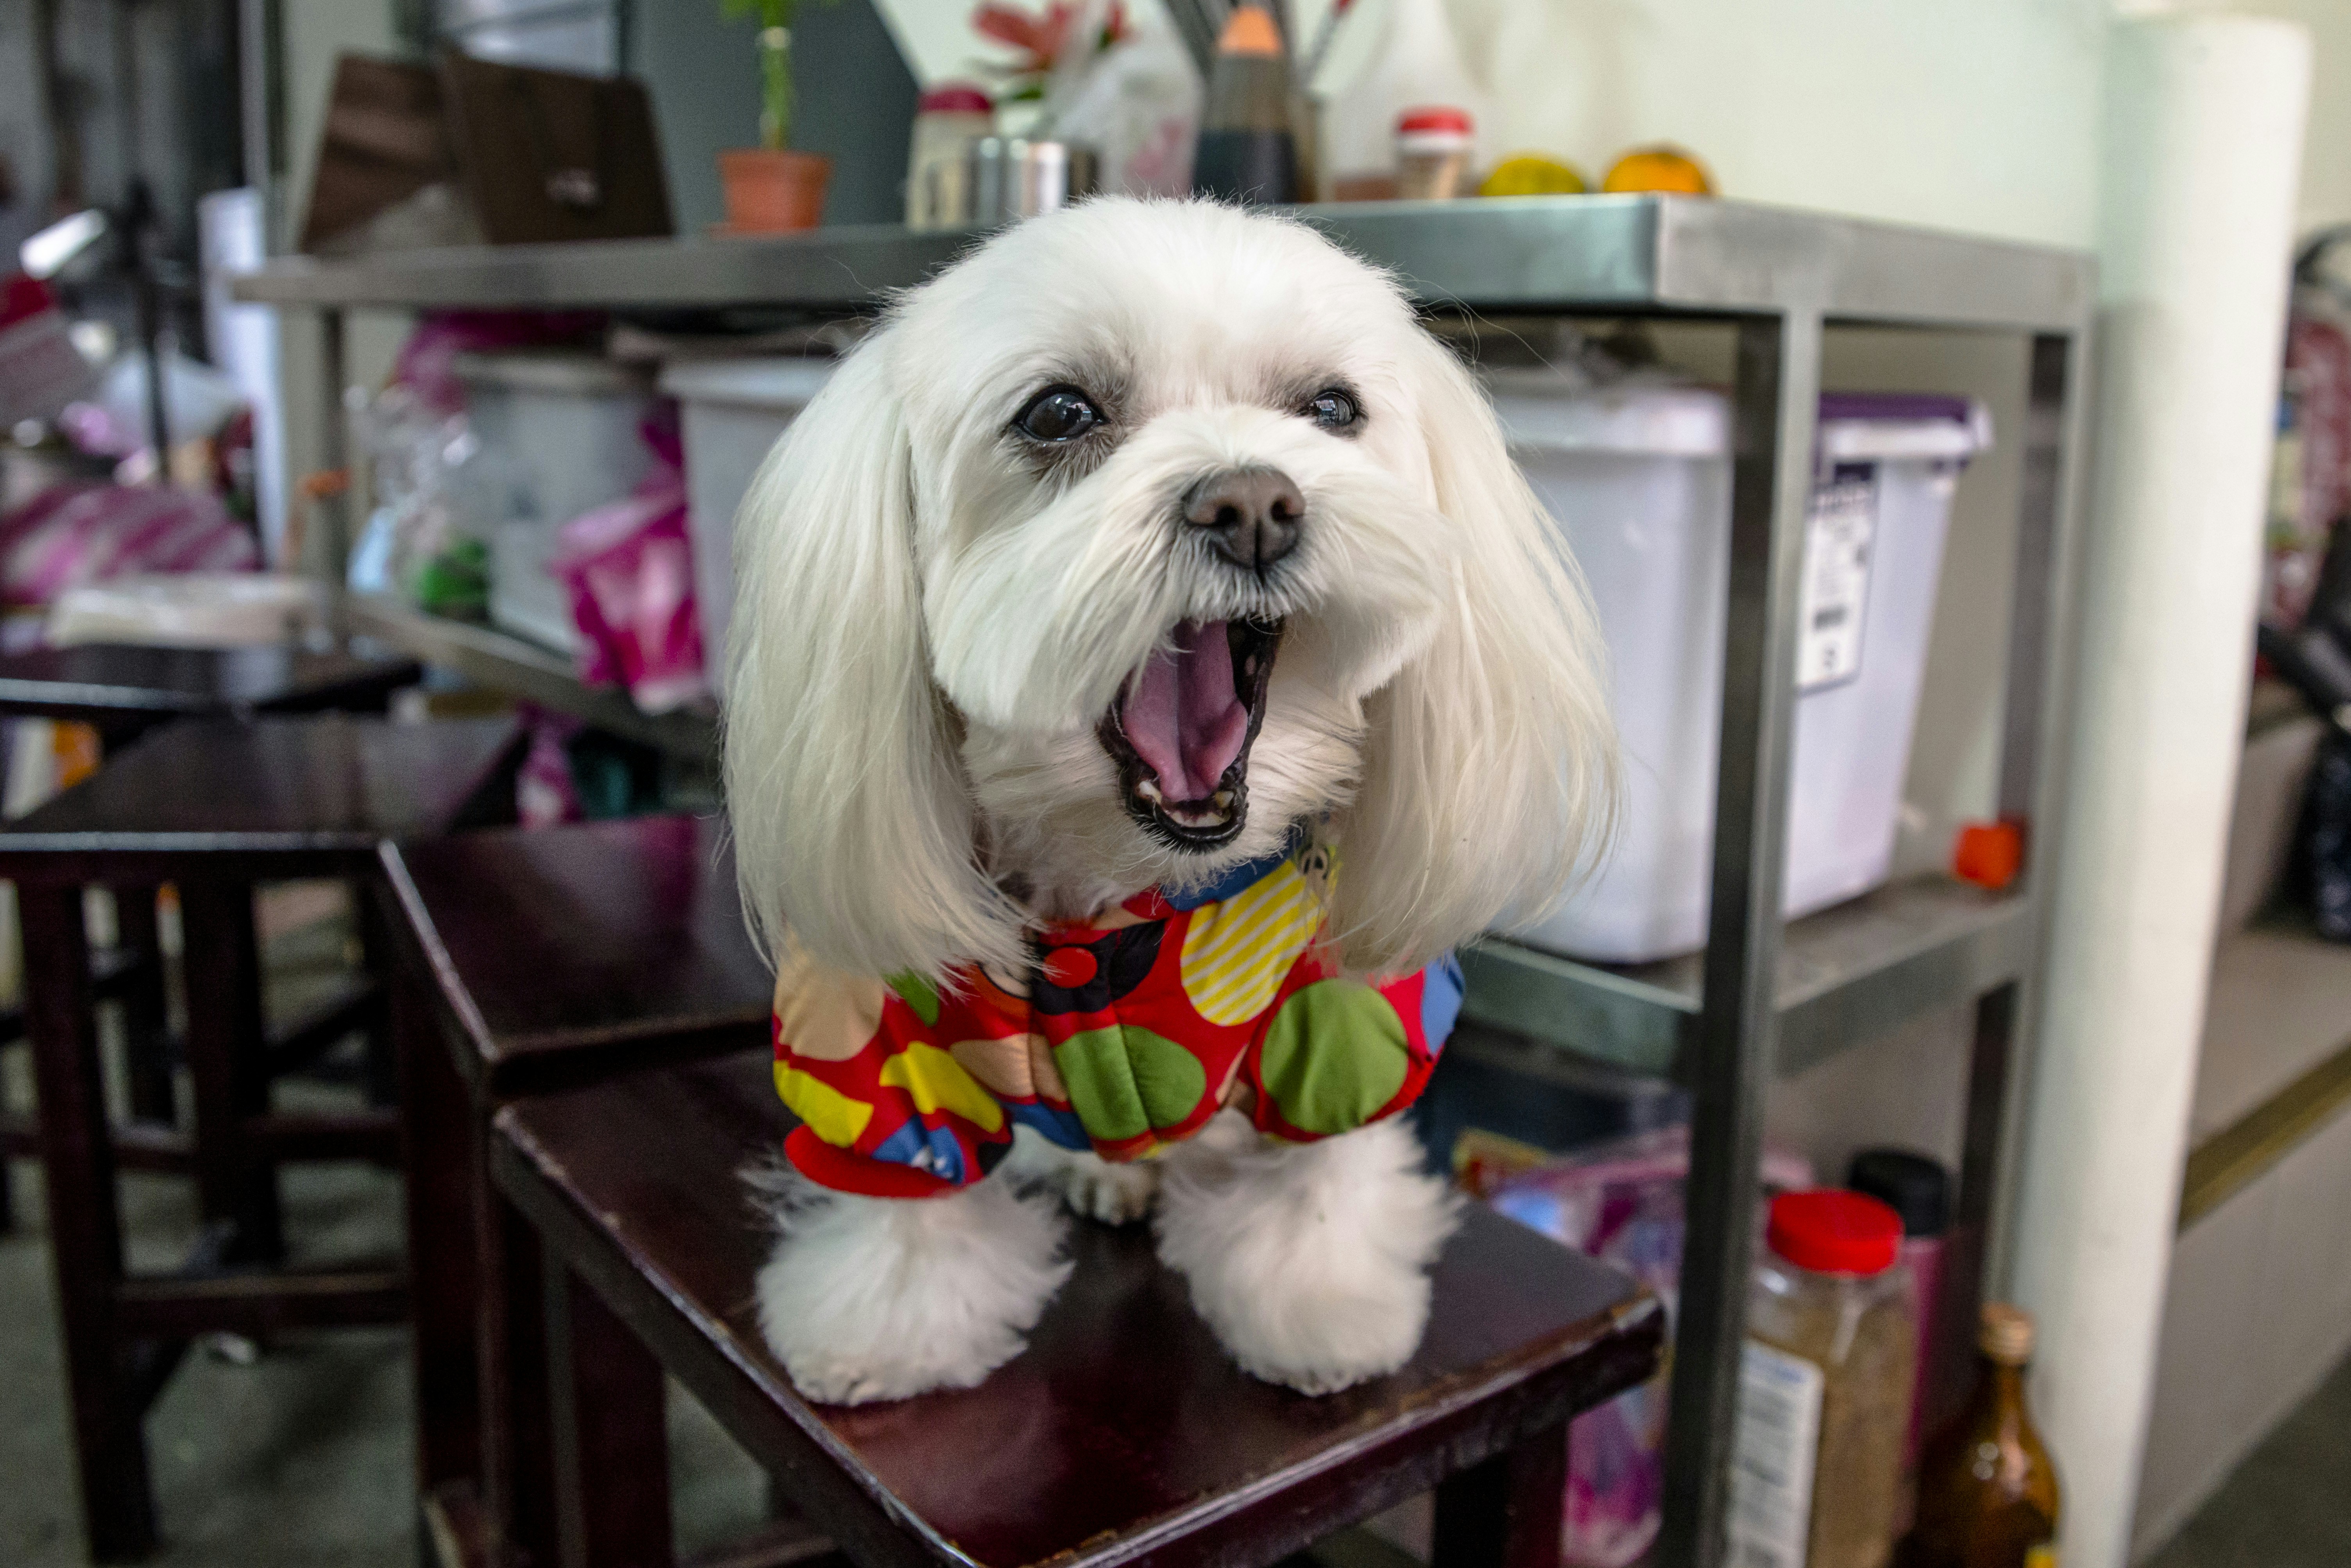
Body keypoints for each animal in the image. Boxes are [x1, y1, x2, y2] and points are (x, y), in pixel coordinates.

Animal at [724, 197, 1614, 1405]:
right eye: (1060, 413)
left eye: (1331, 408)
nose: (1252, 504)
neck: (1133, 895)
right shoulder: (880, 1046)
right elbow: (909, 1191)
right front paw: (889, 1324)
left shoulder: (1342, 1019)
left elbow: (1314, 1168)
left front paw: (1318, 1301)